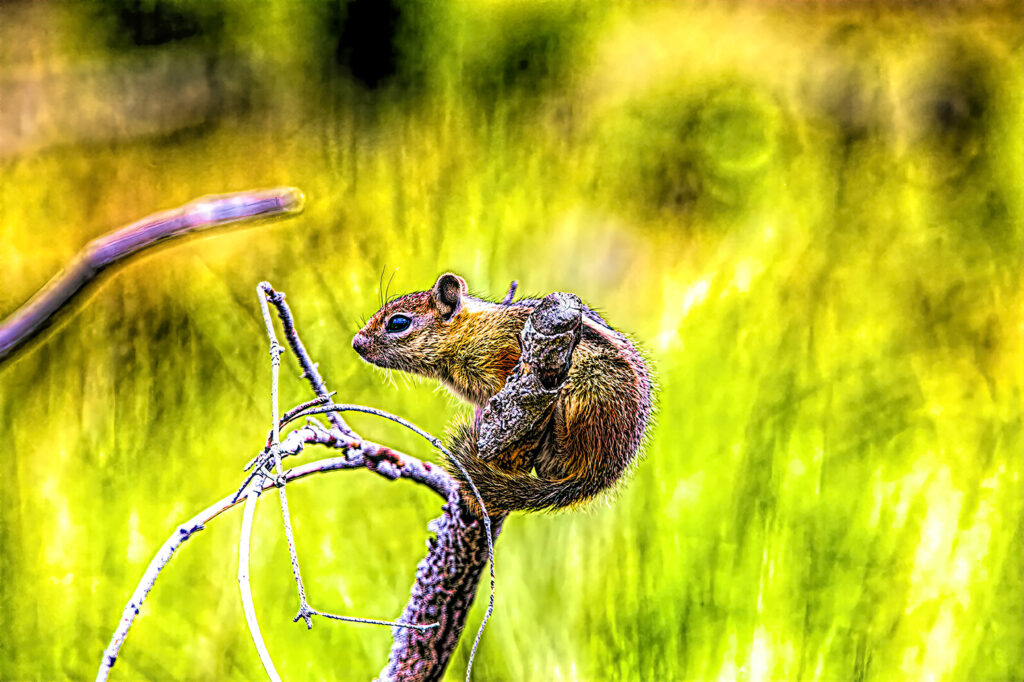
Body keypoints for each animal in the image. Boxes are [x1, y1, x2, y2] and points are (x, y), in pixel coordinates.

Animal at [352, 273, 653, 516]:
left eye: (398, 323)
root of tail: (599, 475)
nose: (356, 343)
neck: (471, 332)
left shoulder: (506, 356)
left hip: (590, 397)